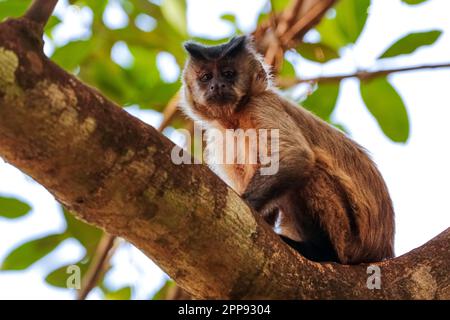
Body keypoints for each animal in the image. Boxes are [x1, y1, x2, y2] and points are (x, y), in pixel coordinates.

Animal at [179, 35, 394, 264]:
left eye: (228, 74)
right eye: (206, 77)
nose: (217, 85)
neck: (234, 119)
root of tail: (380, 251)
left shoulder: (261, 105)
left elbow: (296, 157)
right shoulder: (219, 138)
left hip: (348, 240)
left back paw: (321, 251)